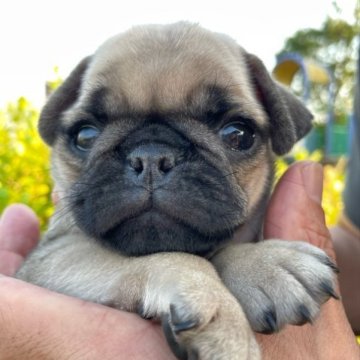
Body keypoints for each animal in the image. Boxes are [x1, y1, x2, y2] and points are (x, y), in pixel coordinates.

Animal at [16, 23, 338, 360]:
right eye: (85, 136)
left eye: (238, 134)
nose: (151, 156)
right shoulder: (51, 254)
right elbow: (175, 257)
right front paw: (225, 311)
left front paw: (261, 264)